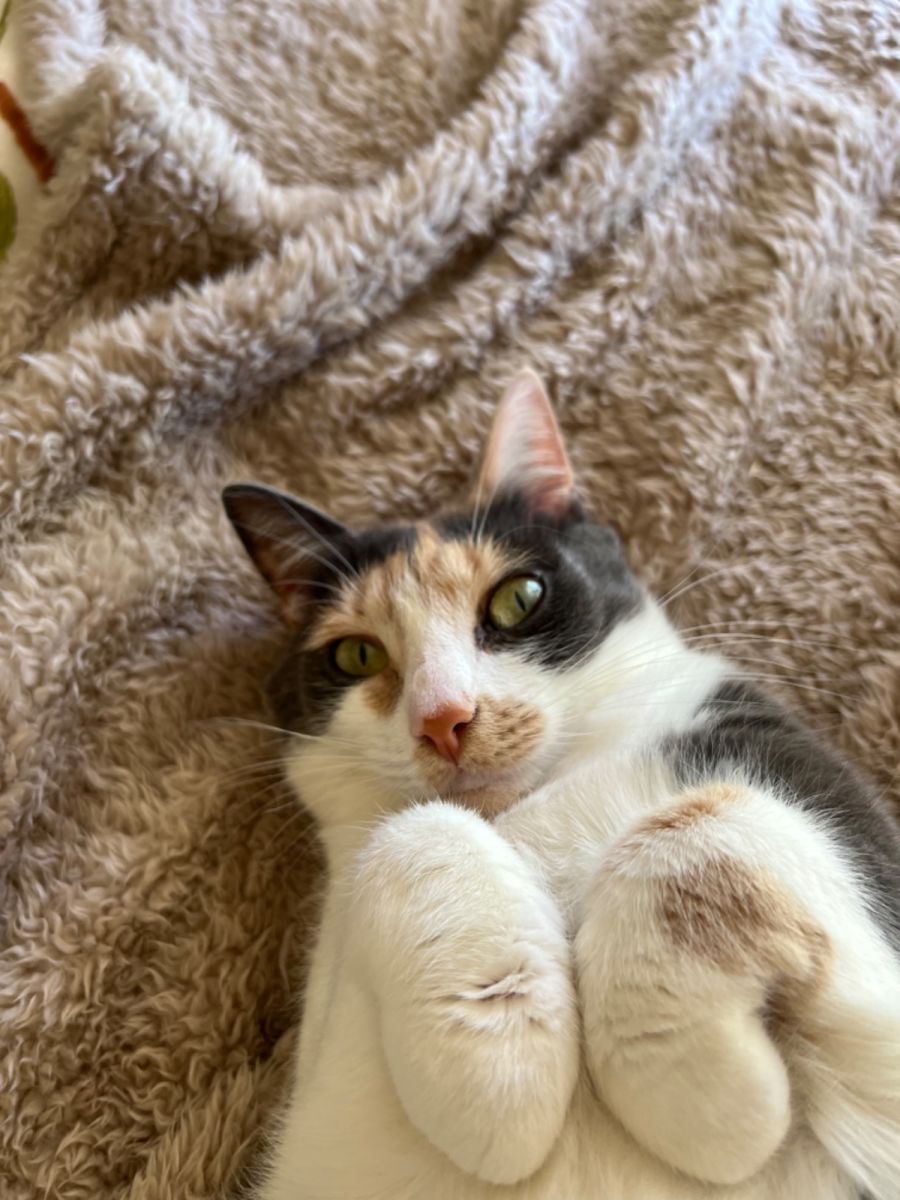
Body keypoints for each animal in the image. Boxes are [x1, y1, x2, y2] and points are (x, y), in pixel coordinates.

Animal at [224, 371, 900, 1200]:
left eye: (518, 598)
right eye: (355, 655)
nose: (444, 717)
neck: (537, 804)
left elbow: (696, 821)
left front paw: (695, 1085)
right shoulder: (324, 1091)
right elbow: (418, 825)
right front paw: (504, 1063)